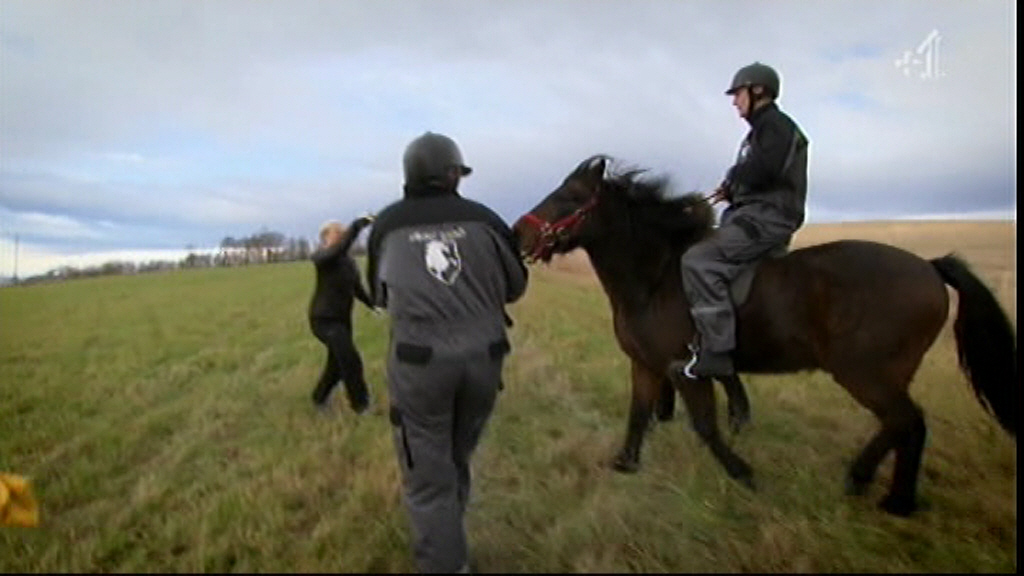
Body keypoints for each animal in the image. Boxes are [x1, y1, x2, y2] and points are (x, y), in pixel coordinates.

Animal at [511, 154, 1017, 516]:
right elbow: (637, 415)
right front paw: (625, 464)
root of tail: (929, 267)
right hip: (885, 375)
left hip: (864, 373)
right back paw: (881, 491)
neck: (655, 276)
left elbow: (706, 426)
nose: (517, 235)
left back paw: (879, 491)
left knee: (907, 421)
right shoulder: (646, 366)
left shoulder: (685, 370)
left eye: (569, 196)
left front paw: (743, 474)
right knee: (904, 425)